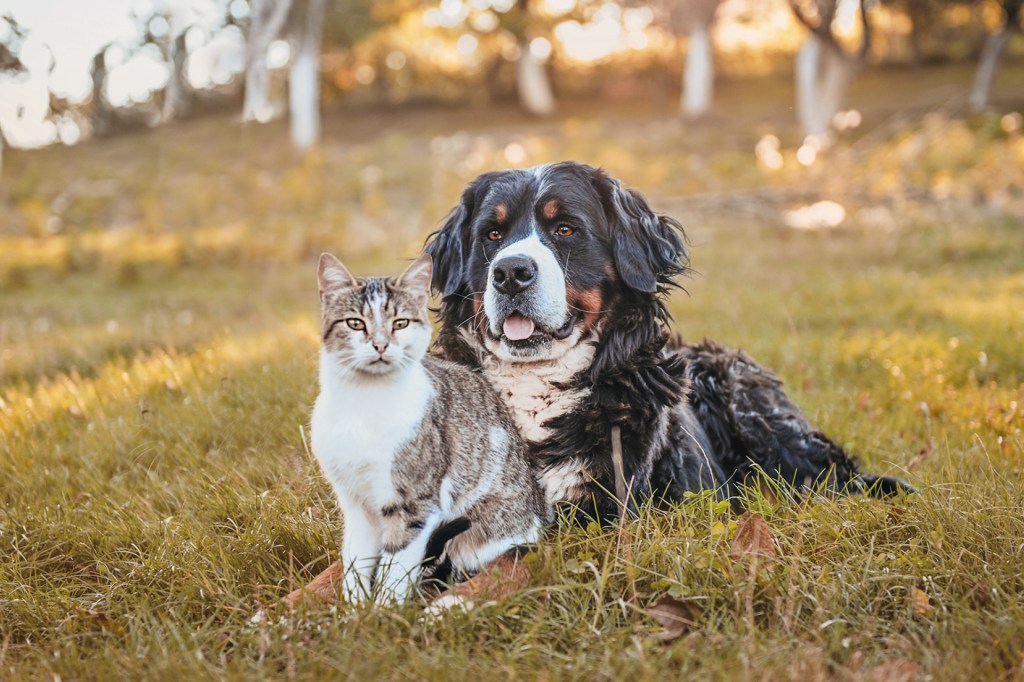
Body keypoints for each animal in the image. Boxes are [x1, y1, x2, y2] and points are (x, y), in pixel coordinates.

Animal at [311, 250, 552, 602]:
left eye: (400, 323)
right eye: (356, 323)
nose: (380, 345)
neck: (363, 401)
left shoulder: (416, 504)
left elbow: (395, 570)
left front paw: (381, 611)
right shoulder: (355, 502)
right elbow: (355, 562)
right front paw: (355, 609)